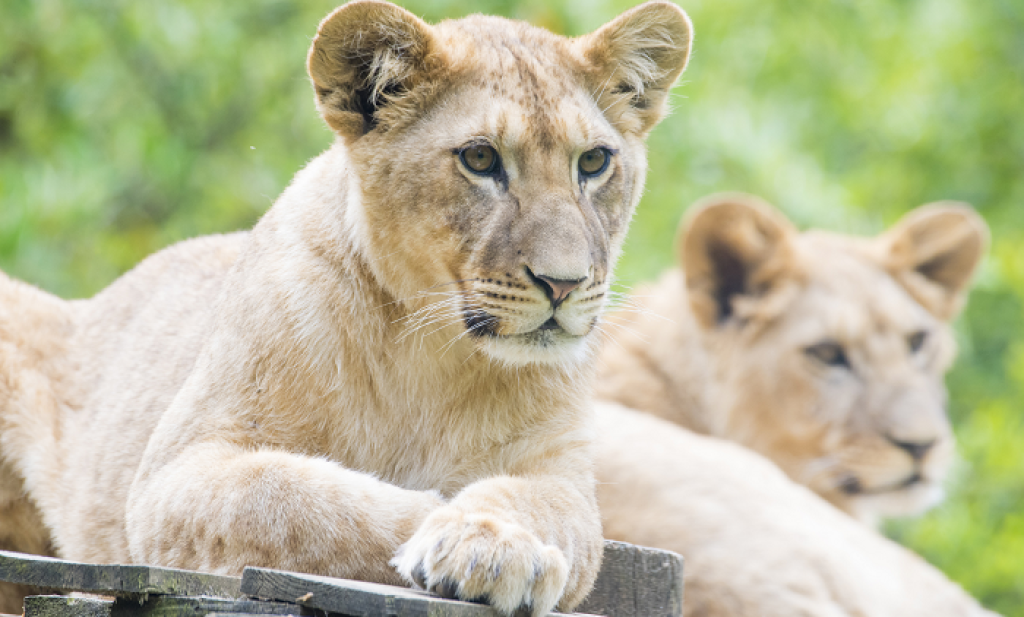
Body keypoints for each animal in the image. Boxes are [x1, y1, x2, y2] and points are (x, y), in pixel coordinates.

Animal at [0, 2, 696, 613]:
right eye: (480, 158)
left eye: (595, 161)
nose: (563, 284)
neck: (432, 349)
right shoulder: (178, 473)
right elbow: (312, 503)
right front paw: (476, 540)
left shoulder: (561, 471)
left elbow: (552, 513)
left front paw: (493, 541)